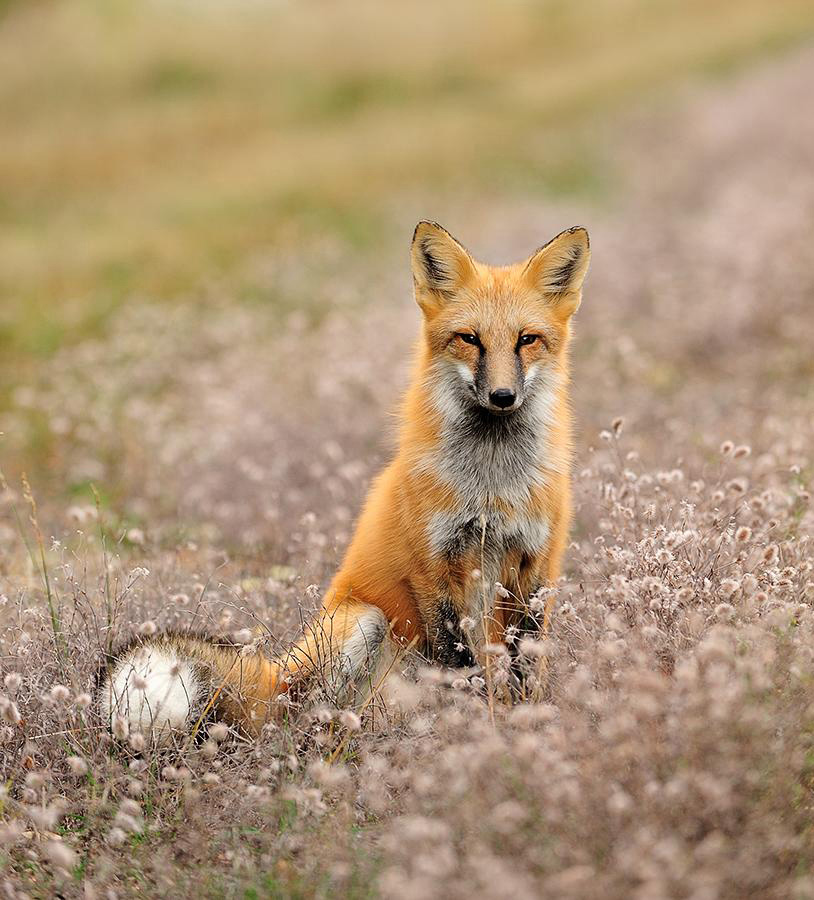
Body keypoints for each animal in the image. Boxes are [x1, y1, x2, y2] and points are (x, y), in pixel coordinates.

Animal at [100, 221, 592, 740]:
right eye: (469, 338)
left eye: (527, 340)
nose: (502, 396)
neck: (492, 486)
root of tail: (281, 674)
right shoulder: (434, 566)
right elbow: (459, 661)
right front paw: (473, 724)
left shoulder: (537, 564)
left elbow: (526, 661)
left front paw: (526, 719)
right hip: (361, 622)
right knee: (303, 711)